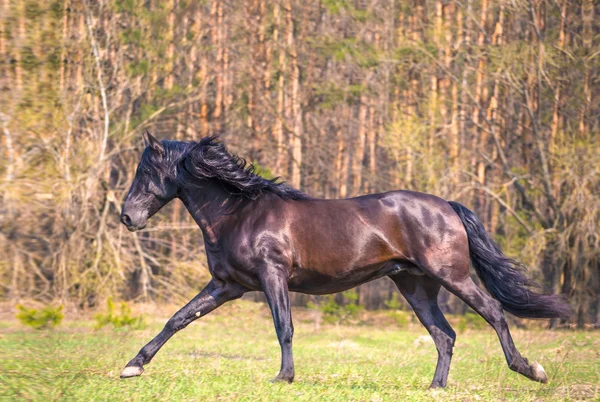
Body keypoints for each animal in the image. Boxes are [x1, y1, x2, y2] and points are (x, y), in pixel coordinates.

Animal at [118, 130, 572, 388]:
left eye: (146, 172)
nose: (127, 217)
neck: (238, 213)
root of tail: (446, 205)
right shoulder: (227, 286)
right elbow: (177, 319)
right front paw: (132, 367)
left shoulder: (271, 276)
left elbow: (284, 327)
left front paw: (284, 377)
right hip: (414, 285)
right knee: (444, 335)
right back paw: (435, 388)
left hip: (451, 275)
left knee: (493, 312)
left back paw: (531, 370)